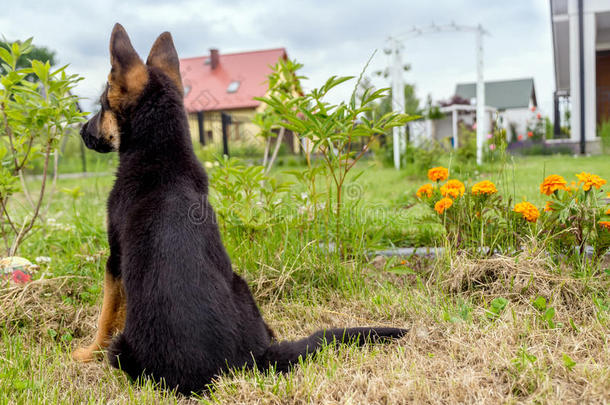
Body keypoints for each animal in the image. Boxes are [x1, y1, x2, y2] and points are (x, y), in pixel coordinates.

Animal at [75, 23, 408, 392]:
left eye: (102, 105)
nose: (80, 131)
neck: (163, 153)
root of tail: (248, 361)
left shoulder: (114, 260)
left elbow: (106, 314)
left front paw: (87, 353)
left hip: (131, 345)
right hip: (241, 284)